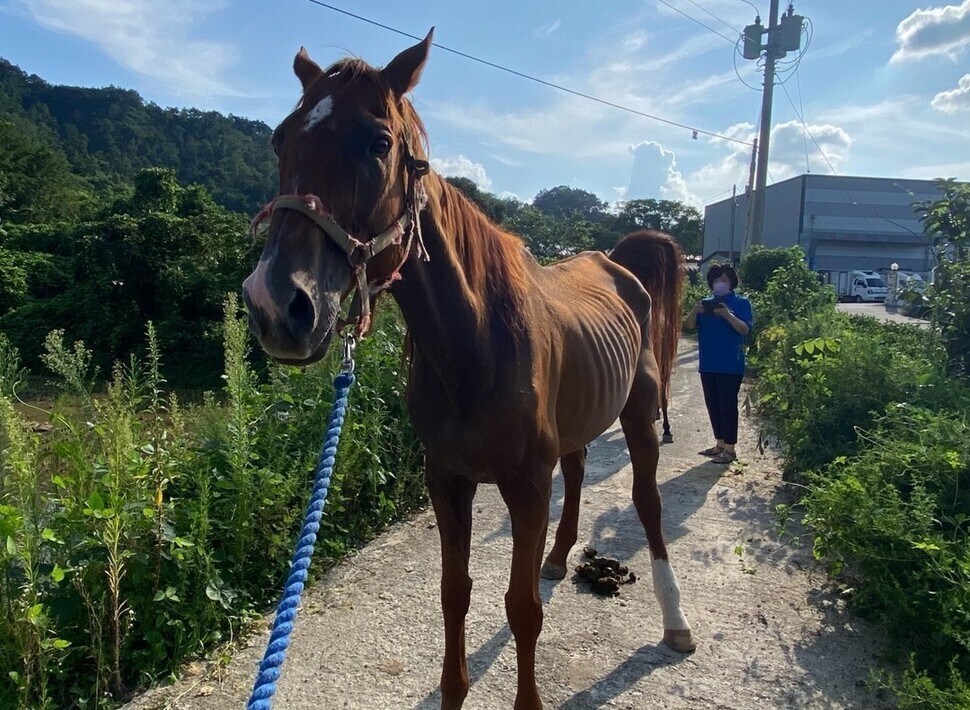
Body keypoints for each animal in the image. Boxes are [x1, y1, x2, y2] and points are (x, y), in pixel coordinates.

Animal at [242, 30, 696, 710]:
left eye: (379, 142)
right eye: (281, 139)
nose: (276, 304)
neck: (477, 345)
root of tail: (618, 264)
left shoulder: (526, 485)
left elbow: (522, 608)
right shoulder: (447, 480)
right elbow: (454, 596)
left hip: (640, 416)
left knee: (647, 503)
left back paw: (675, 619)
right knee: (579, 469)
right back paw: (560, 555)